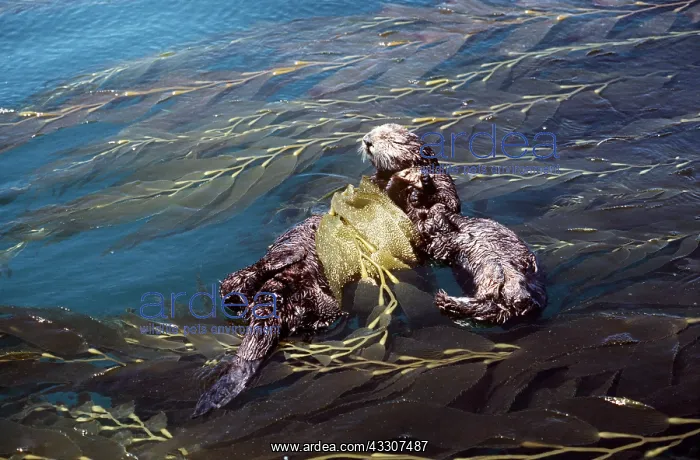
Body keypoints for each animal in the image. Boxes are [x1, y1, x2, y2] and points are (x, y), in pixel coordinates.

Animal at [361, 123, 546, 324]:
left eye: (388, 137)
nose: (367, 141)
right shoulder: (382, 193)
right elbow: (387, 195)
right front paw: (403, 179)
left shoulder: (443, 182)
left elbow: (447, 199)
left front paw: (423, 183)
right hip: (487, 277)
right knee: (489, 306)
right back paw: (447, 302)